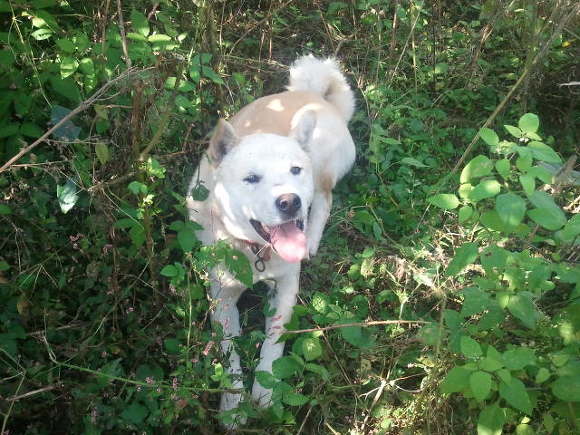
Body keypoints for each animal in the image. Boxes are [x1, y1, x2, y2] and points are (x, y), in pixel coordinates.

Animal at [186, 55, 355, 422]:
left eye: (295, 170)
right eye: (251, 178)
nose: (290, 201)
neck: (257, 253)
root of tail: (314, 96)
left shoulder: (287, 287)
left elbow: (274, 339)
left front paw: (265, 391)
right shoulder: (221, 297)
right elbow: (229, 353)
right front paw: (234, 406)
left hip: (322, 164)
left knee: (324, 199)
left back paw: (312, 239)